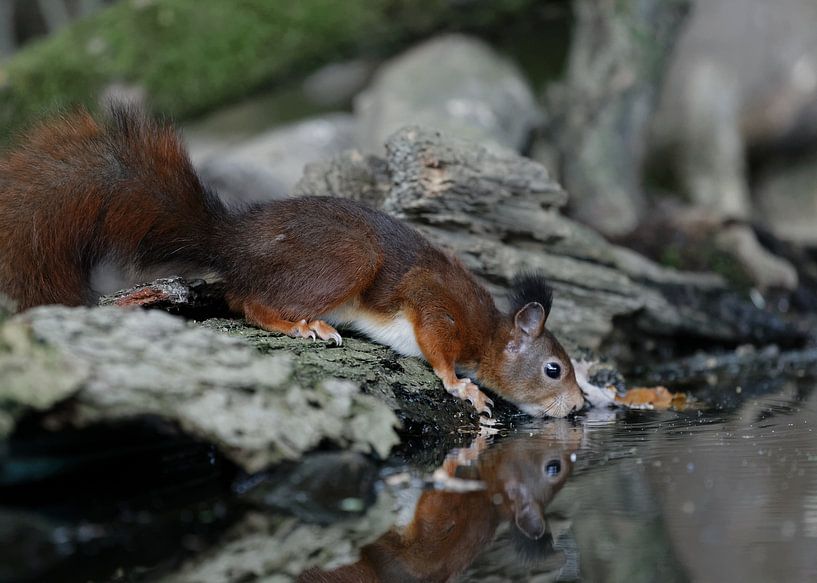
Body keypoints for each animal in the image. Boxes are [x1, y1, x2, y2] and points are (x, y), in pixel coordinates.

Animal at [1, 107, 588, 418]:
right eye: (554, 369)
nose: (579, 407)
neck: (488, 334)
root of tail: (235, 241)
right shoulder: (437, 306)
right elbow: (438, 347)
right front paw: (462, 386)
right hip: (346, 261)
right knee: (249, 301)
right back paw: (304, 326)